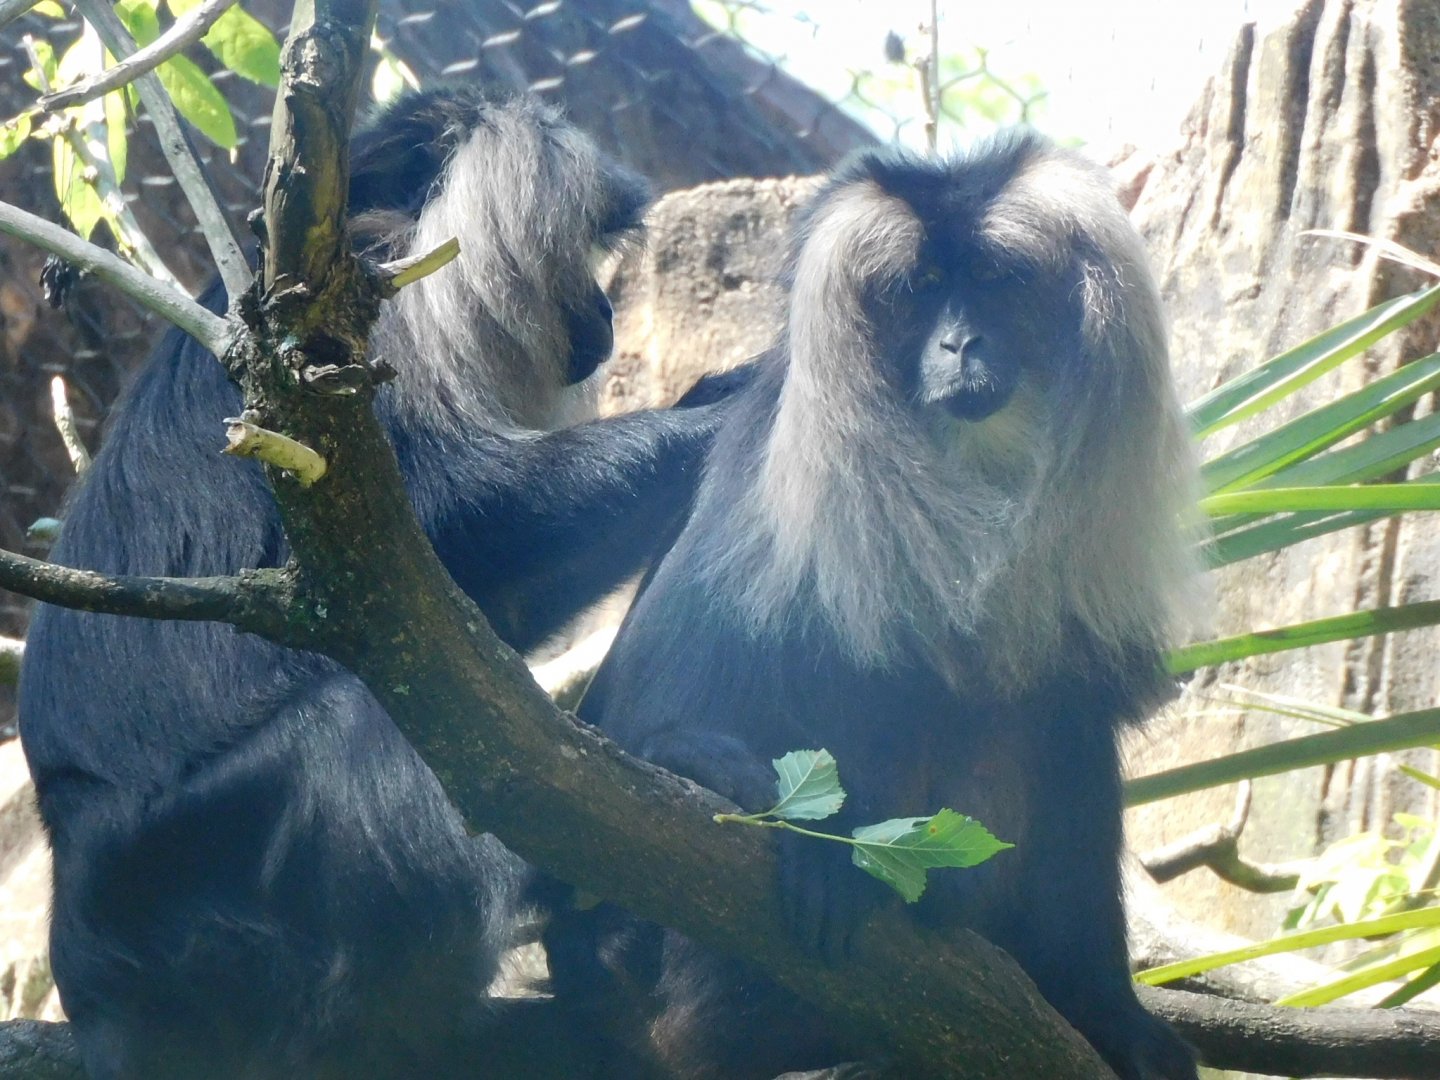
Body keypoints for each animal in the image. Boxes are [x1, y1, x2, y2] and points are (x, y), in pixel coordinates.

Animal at [18, 87, 734, 1079]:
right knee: (358, 721)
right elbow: (445, 525)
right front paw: (741, 401)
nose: (604, 315)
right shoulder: (349, 330)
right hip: (191, 884)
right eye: (580, 261)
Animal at [543, 131, 1203, 1080]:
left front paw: (1110, 1012)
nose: (961, 343)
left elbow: (1066, 728)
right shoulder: (756, 493)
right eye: (920, 290)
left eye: (992, 280)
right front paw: (737, 788)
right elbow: (633, 749)